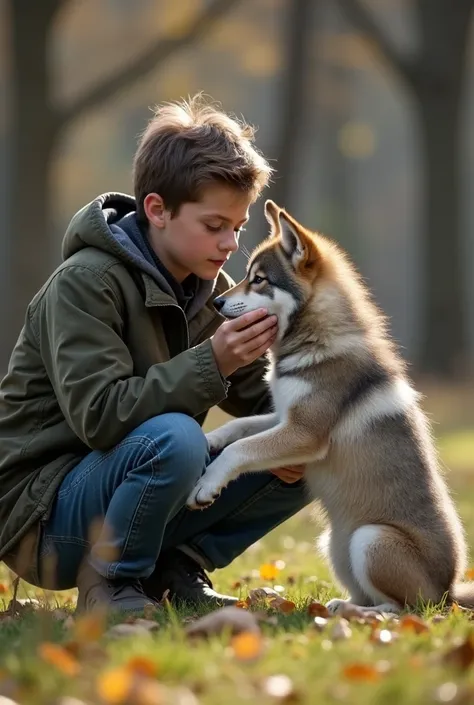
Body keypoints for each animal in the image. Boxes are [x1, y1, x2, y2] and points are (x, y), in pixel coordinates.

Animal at [187, 198, 472, 612]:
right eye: (248, 276)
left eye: (259, 279)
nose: (218, 301)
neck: (314, 340)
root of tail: (450, 589)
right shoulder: (283, 416)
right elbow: (238, 428)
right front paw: (208, 440)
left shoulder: (303, 432)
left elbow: (240, 450)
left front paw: (207, 485)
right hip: (334, 545)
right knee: (366, 595)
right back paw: (336, 606)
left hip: (371, 540)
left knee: (400, 609)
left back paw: (356, 613)